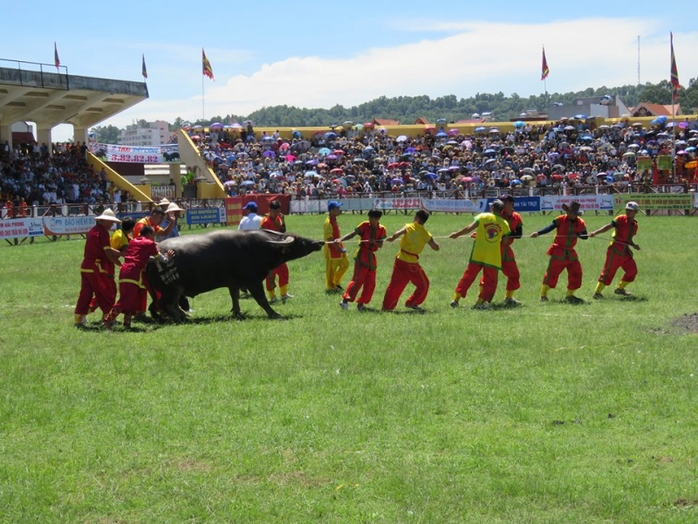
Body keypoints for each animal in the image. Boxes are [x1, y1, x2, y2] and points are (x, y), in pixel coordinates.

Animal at [146, 229, 324, 320]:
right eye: (299, 240)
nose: (319, 242)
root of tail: (151, 260)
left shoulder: (233, 283)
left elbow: (235, 297)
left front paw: (237, 312)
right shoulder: (253, 282)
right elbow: (262, 300)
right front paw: (275, 313)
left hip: (177, 290)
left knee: (171, 305)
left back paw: (184, 315)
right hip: (172, 289)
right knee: (164, 304)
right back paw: (180, 317)